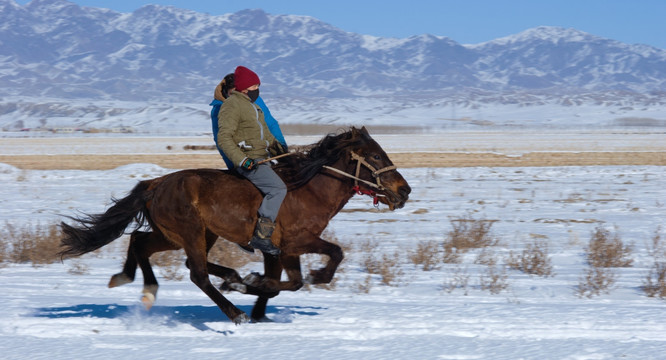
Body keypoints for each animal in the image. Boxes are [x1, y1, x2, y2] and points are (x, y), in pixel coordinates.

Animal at [58, 126, 410, 324]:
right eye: (375, 157)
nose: (404, 190)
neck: (309, 189)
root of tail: (155, 183)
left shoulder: (279, 250)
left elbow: (285, 282)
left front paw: (252, 292)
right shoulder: (296, 242)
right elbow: (329, 258)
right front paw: (254, 286)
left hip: (184, 234)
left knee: (141, 242)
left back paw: (140, 286)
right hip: (191, 231)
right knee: (196, 273)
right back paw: (234, 311)